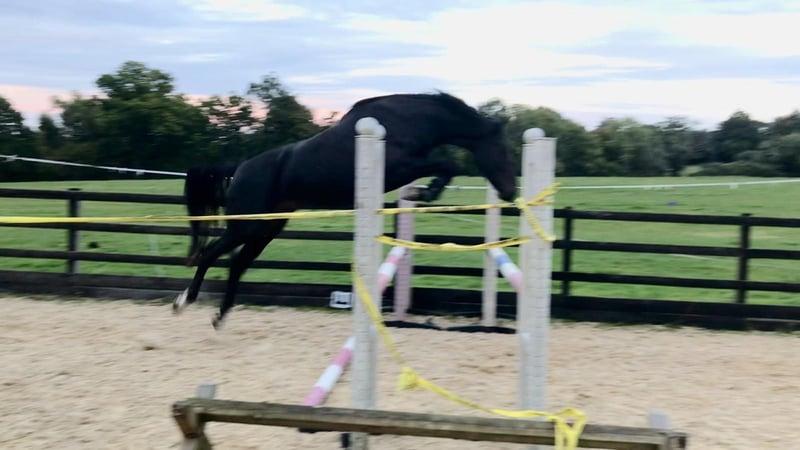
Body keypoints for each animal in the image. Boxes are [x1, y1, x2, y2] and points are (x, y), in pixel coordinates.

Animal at [173, 92, 519, 328]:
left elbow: (445, 165)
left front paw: (424, 191)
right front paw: (426, 191)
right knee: (210, 255)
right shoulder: (399, 168)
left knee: (236, 265)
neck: (408, 120)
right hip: (244, 227)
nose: (511, 192)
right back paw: (183, 302)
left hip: (267, 229)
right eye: (503, 150)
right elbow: (446, 165)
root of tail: (240, 168)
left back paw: (220, 316)